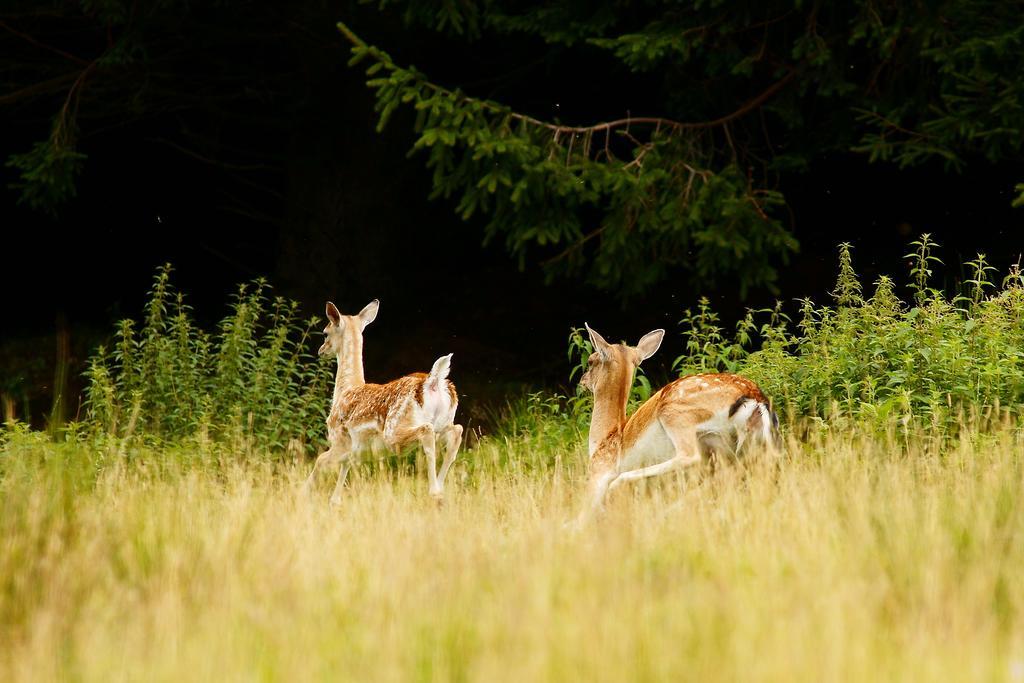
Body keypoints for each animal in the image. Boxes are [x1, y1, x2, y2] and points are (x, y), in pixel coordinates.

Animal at [303, 301, 464, 505]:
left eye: (325, 332)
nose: (321, 351)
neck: (345, 389)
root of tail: (434, 381)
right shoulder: (354, 451)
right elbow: (345, 466)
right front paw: (334, 501)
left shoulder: (340, 438)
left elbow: (320, 460)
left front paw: (302, 494)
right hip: (443, 423)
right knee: (456, 432)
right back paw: (441, 488)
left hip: (394, 429)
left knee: (427, 432)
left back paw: (434, 490)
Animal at [577, 323, 774, 528]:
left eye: (591, 361)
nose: (582, 380)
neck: (605, 437)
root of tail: (755, 396)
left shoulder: (599, 473)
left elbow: (580, 519)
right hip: (734, 444)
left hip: (676, 414)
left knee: (689, 456)